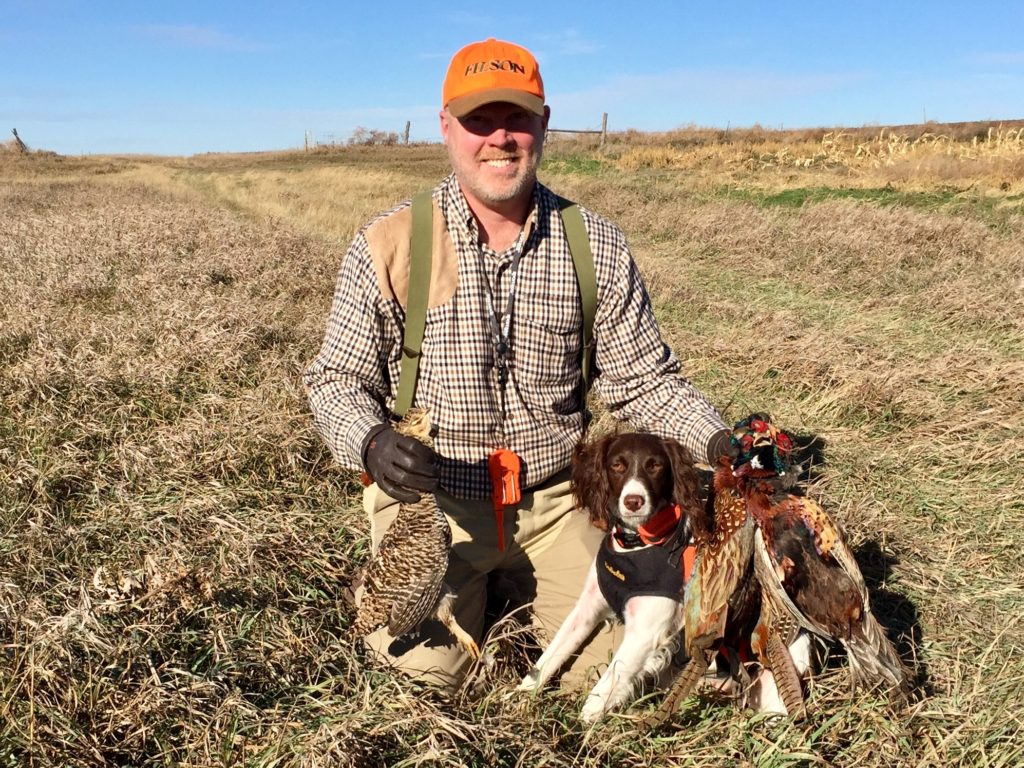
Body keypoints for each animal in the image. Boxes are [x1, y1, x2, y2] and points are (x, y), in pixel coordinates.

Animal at [516, 436, 700, 724]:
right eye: (617, 465)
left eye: (655, 465)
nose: (634, 501)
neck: (636, 545)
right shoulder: (587, 608)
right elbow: (547, 660)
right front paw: (517, 702)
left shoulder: (646, 632)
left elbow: (599, 694)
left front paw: (577, 731)